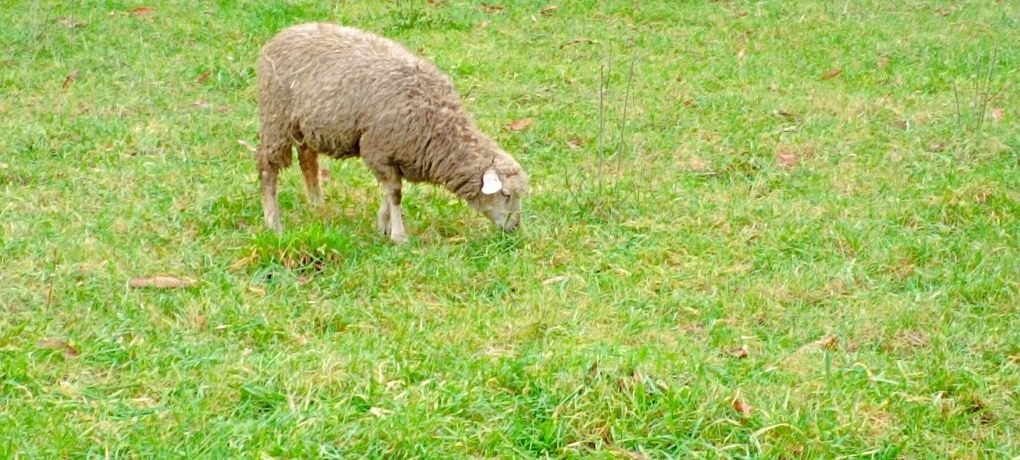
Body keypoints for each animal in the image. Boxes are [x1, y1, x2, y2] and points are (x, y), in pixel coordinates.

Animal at [253, 22, 530, 242]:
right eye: (506, 194)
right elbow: (396, 195)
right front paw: (398, 236)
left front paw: (382, 226)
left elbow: (389, 194)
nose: (514, 228)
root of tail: (280, 36)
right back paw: (273, 223)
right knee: (268, 169)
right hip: (276, 119)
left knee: (308, 161)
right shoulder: (378, 150)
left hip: (305, 126)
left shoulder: (392, 156)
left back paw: (317, 206)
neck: (439, 126)